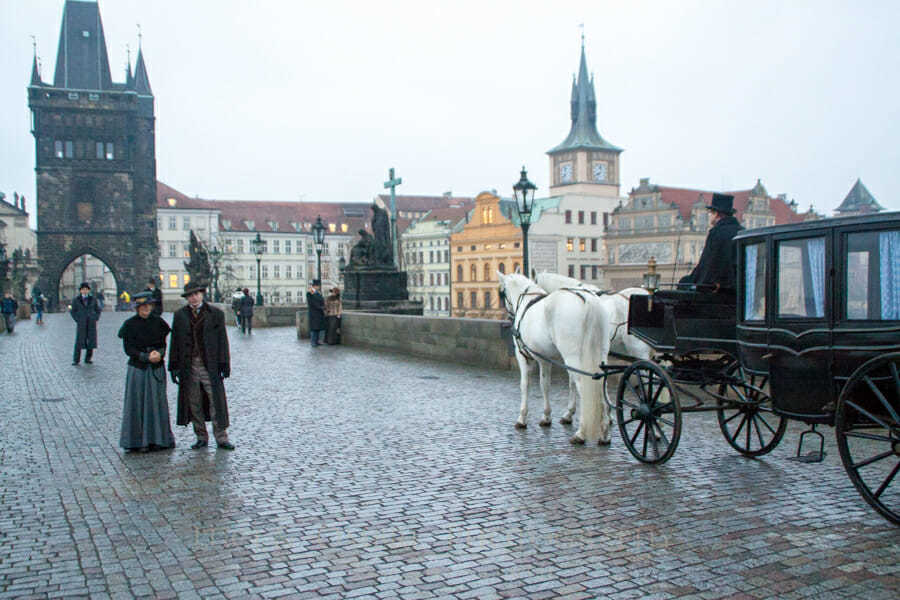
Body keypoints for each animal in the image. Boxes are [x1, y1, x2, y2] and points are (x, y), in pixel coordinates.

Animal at [496, 272, 616, 446]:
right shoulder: (545, 359)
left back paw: (581, 433)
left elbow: (525, 385)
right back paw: (605, 433)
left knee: (584, 387)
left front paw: (522, 418)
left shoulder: (523, 357)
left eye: (502, 293)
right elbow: (545, 385)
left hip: (572, 356)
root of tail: (589, 299)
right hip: (599, 356)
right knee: (602, 387)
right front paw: (548, 416)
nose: (509, 315)